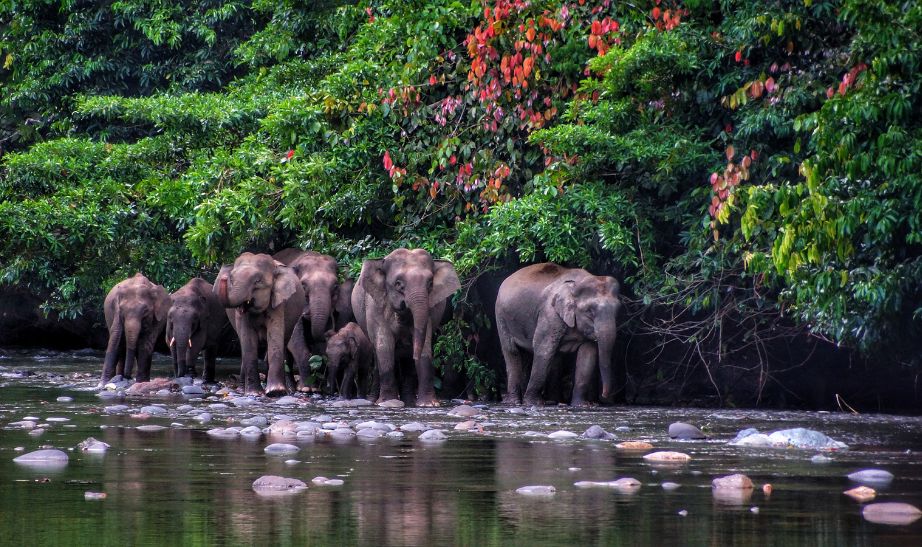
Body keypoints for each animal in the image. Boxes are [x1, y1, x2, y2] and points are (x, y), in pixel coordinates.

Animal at [214, 252, 304, 396]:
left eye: (257, 281)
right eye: (231, 280)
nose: (224, 277)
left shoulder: (278, 302)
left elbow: (275, 335)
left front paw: (275, 391)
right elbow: (248, 340)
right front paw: (254, 393)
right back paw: (242, 389)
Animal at [273, 249, 355, 390]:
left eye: (335, 286)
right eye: (303, 285)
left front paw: (317, 387)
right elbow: (295, 339)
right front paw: (306, 388)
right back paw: (291, 388)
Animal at [352, 248, 460, 406]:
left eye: (430, 283)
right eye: (398, 284)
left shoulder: (429, 312)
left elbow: (425, 346)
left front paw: (428, 404)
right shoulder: (375, 306)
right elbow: (385, 346)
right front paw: (388, 402)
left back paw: (408, 402)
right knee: (377, 354)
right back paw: (374, 401)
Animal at [495, 263, 621, 406]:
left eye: (618, 310)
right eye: (589, 311)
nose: (604, 396)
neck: (575, 285)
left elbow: (588, 354)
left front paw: (581, 404)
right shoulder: (549, 313)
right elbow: (543, 349)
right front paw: (533, 403)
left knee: (555, 357)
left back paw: (553, 401)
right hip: (501, 317)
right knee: (512, 352)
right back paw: (514, 402)